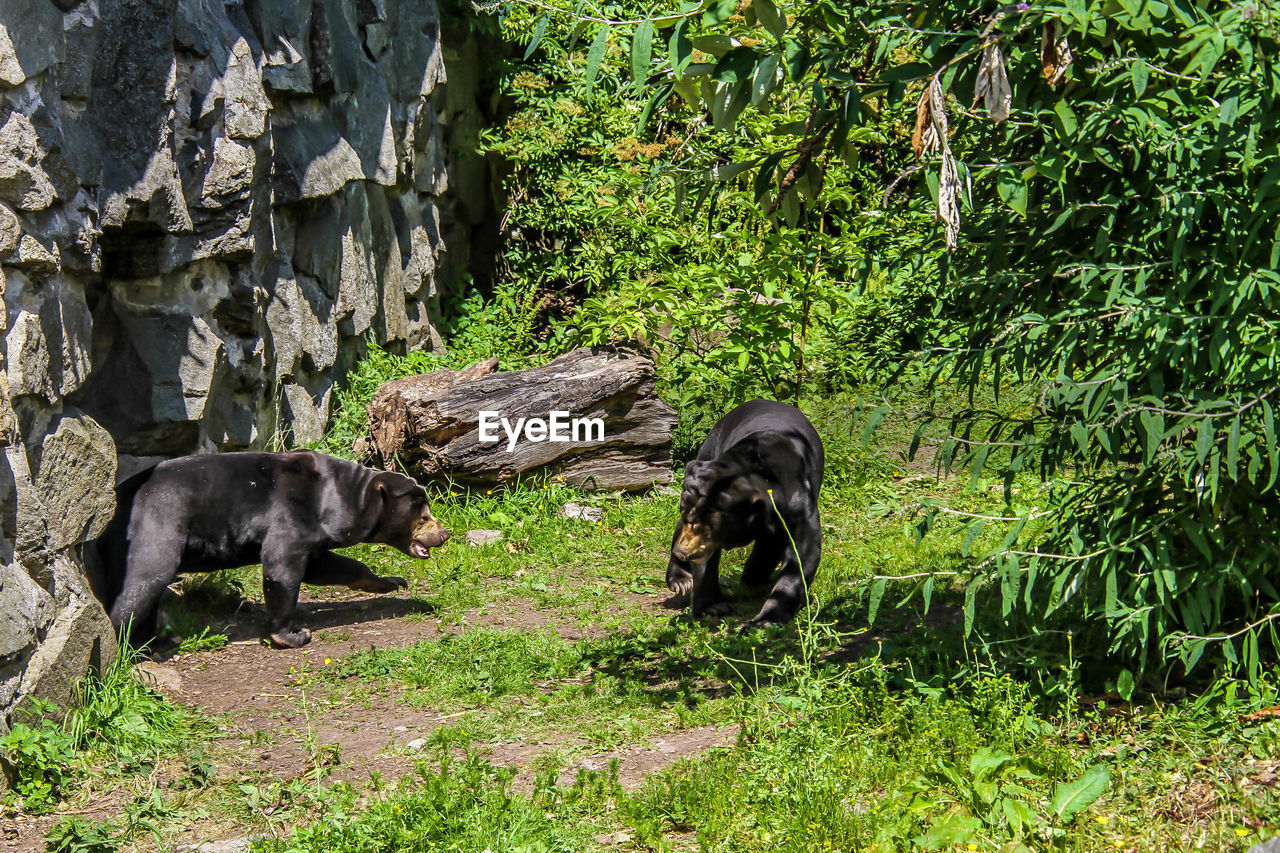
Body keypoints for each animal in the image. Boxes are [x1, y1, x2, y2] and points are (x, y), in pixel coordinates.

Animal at [90, 450, 450, 645]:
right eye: (424, 515)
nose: (445, 534)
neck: (337, 499)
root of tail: (118, 501)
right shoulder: (293, 512)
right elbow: (283, 567)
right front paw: (292, 634)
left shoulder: (316, 531)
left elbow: (325, 565)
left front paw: (391, 582)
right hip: (158, 521)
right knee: (147, 575)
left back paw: (156, 640)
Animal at [665, 397, 824, 625]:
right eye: (691, 519)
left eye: (705, 525)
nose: (682, 552)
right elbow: (706, 561)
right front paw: (713, 606)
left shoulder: (799, 502)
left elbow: (803, 553)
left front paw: (765, 620)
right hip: (709, 448)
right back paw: (682, 580)